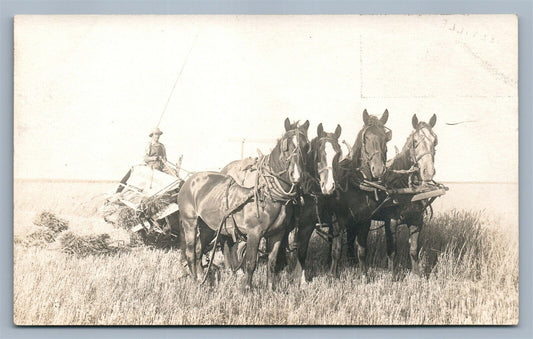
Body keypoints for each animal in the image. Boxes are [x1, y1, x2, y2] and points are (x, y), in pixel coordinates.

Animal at [177, 119, 308, 290]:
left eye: (306, 145)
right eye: (286, 146)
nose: (297, 176)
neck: (268, 193)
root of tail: (189, 181)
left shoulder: (277, 234)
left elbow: (272, 263)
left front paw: (271, 289)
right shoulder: (254, 233)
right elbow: (250, 262)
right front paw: (247, 289)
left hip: (208, 226)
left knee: (199, 250)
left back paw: (201, 279)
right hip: (190, 222)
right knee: (191, 252)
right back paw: (195, 281)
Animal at [374, 114, 436, 276]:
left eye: (435, 140)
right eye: (414, 142)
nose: (428, 172)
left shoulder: (416, 221)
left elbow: (414, 250)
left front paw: (417, 275)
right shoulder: (391, 223)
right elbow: (392, 251)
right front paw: (392, 275)